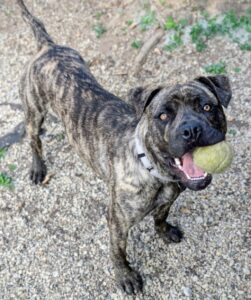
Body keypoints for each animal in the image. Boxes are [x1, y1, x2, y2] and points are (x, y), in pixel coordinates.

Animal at [17, 0, 231, 294]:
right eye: (163, 115)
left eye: (208, 107)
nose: (192, 130)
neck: (154, 170)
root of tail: (47, 47)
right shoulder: (117, 221)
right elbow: (118, 251)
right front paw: (126, 276)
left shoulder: (169, 199)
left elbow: (160, 216)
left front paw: (164, 231)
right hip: (34, 111)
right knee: (34, 140)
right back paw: (38, 168)